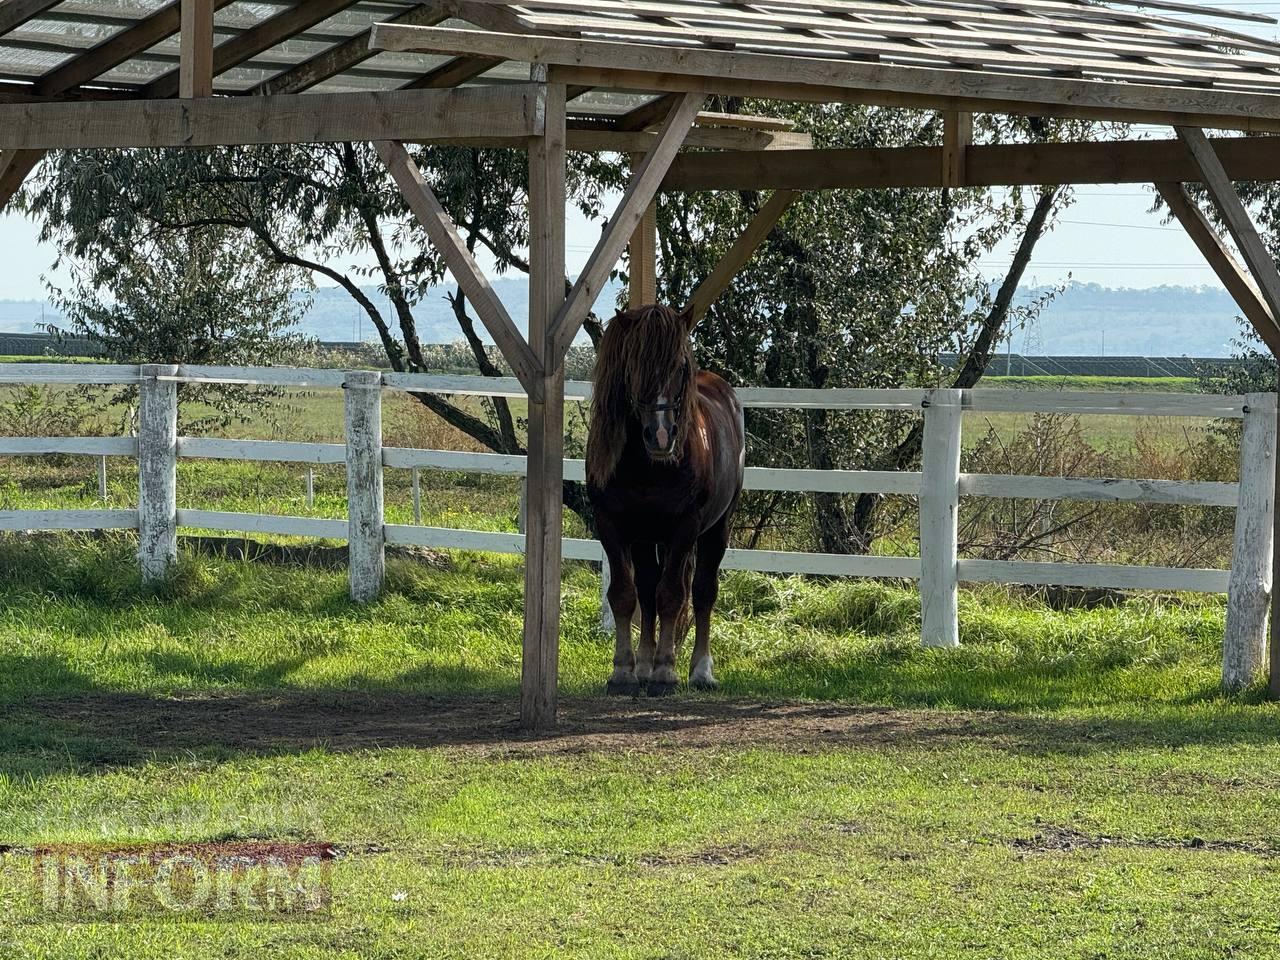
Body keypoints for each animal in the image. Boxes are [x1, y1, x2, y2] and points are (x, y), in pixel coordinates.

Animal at [586, 308, 747, 701]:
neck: (648, 467)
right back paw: (644, 666)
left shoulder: (684, 528)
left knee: (703, 592)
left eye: (679, 366)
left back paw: (700, 670)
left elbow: (673, 595)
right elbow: (625, 595)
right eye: (633, 365)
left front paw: (665, 672)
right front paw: (624, 672)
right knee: (646, 591)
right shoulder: (611, 525)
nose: (661, 436)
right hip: (646, 539)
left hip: (717, 529)